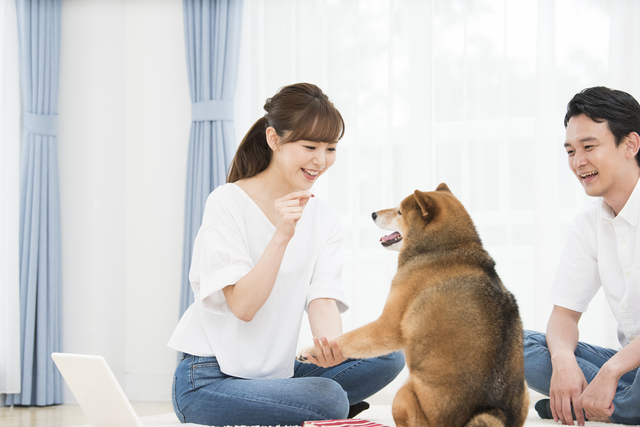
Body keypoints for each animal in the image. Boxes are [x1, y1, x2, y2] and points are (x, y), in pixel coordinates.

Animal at [298, 184, 528, 427]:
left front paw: (309, 350)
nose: (373, 214)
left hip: (402, 395)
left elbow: (347, 338)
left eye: (399, 212)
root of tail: (490, 412)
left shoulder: (387, 326)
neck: (445, 248)